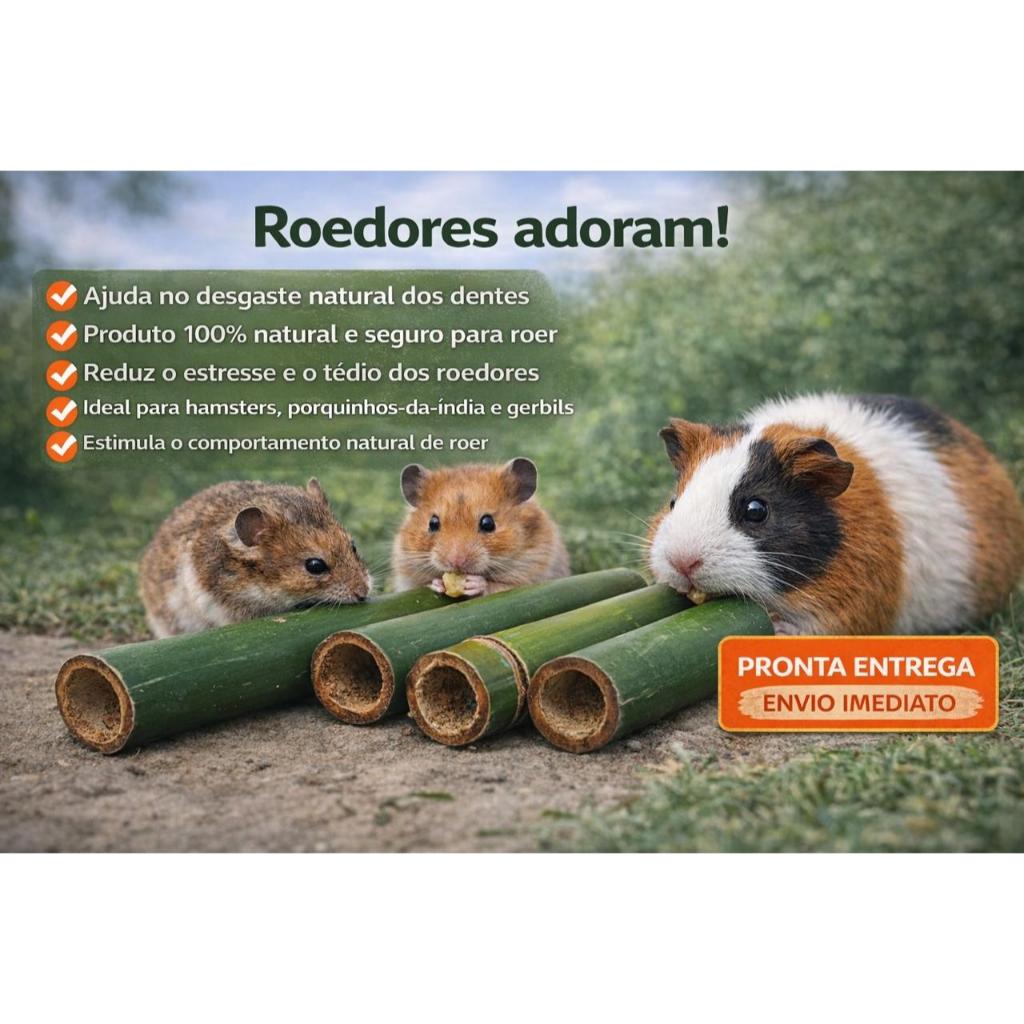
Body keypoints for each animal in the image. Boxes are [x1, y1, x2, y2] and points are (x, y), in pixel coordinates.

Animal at [391, 458, 571, 597]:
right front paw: (438, 583)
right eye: (433, 523)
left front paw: (474, 583)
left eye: (488, 523)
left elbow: (496, 586)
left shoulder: (531, 574)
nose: (456, 562)